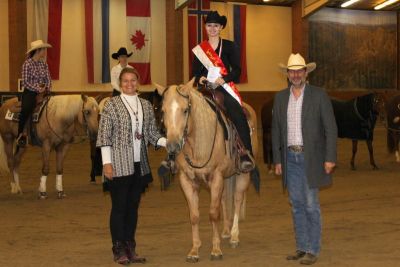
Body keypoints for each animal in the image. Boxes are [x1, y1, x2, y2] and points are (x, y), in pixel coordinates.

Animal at [156, 80, 260, 262]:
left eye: (185, 110)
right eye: (163, 111)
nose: (173, 146)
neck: (199, 143)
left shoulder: (216, 178)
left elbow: (213, 213)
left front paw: (216, 250)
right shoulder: (187, 180)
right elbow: (194, 215)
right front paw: (194, 250)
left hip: (243, 174)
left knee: (237, 200)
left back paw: (234, 236)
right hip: (227, 176)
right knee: (225, 200)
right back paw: (225, 231)